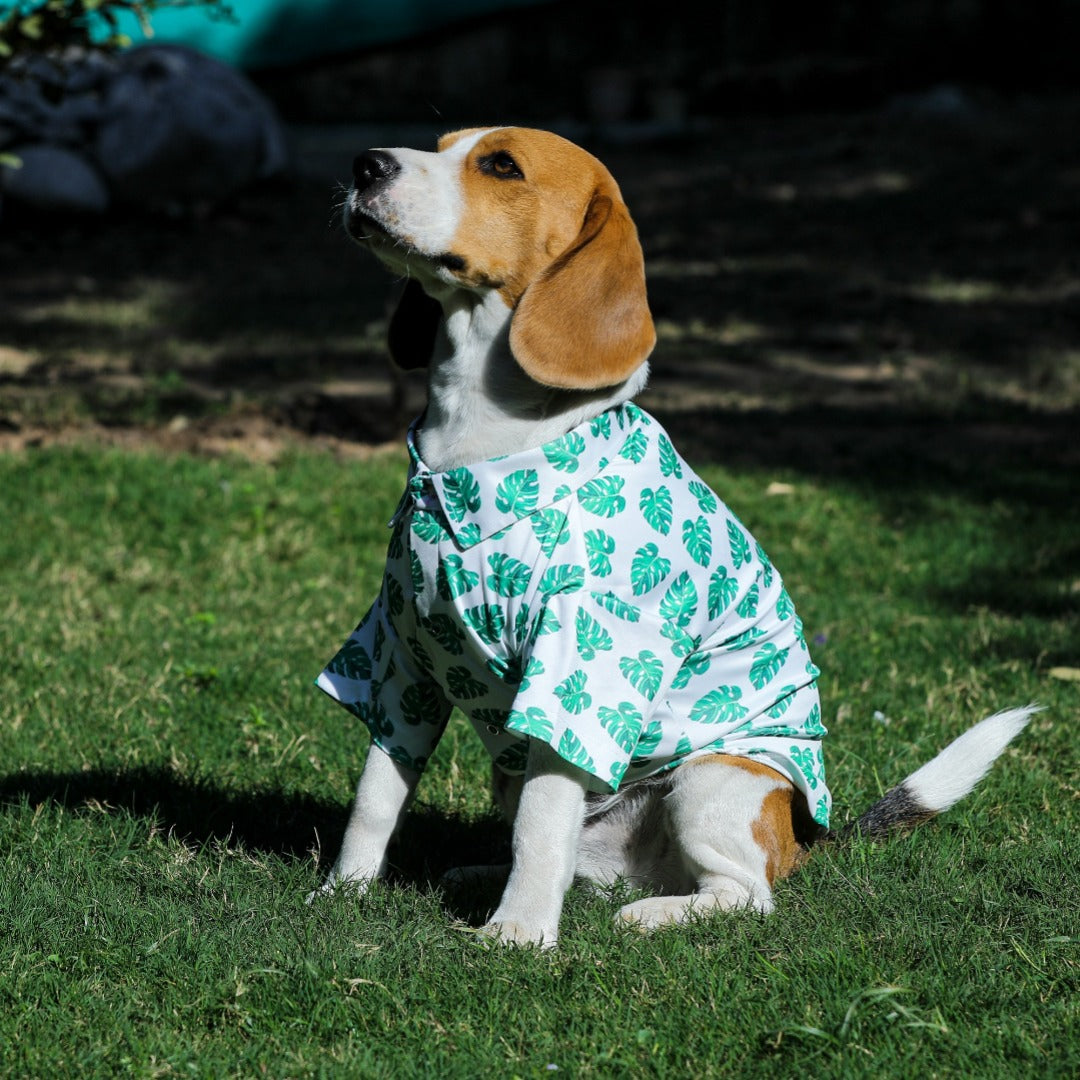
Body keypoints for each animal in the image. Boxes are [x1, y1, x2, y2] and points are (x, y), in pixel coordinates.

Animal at [308, 130, 1032, 950]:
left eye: (500, 165)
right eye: (437, 146)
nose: (366, 164)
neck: (475, 449)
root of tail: (799, 841)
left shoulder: (579, 675)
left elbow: (541, 828)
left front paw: (518, 935)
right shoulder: (403, 655)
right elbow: (376, 795)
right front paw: (345, 893)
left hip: (710, 780)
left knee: (742, 894)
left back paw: (652, 912)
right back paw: (485, 875)